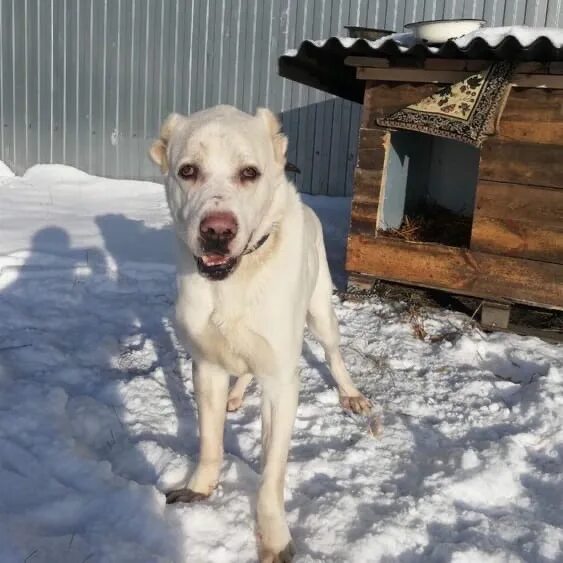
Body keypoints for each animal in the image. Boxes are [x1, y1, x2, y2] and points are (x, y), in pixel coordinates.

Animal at [149, 107, 370, 563]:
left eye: (249, 172)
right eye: (187, 170)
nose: (217, 231)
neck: (235, 281)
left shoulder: (281, 383)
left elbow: (271, 473)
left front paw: (273, 536)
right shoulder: (207, 366)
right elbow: (210, 442)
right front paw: (199, 488)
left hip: (321, 314)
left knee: (333, 353)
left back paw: (350, 393)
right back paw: (236, 396)